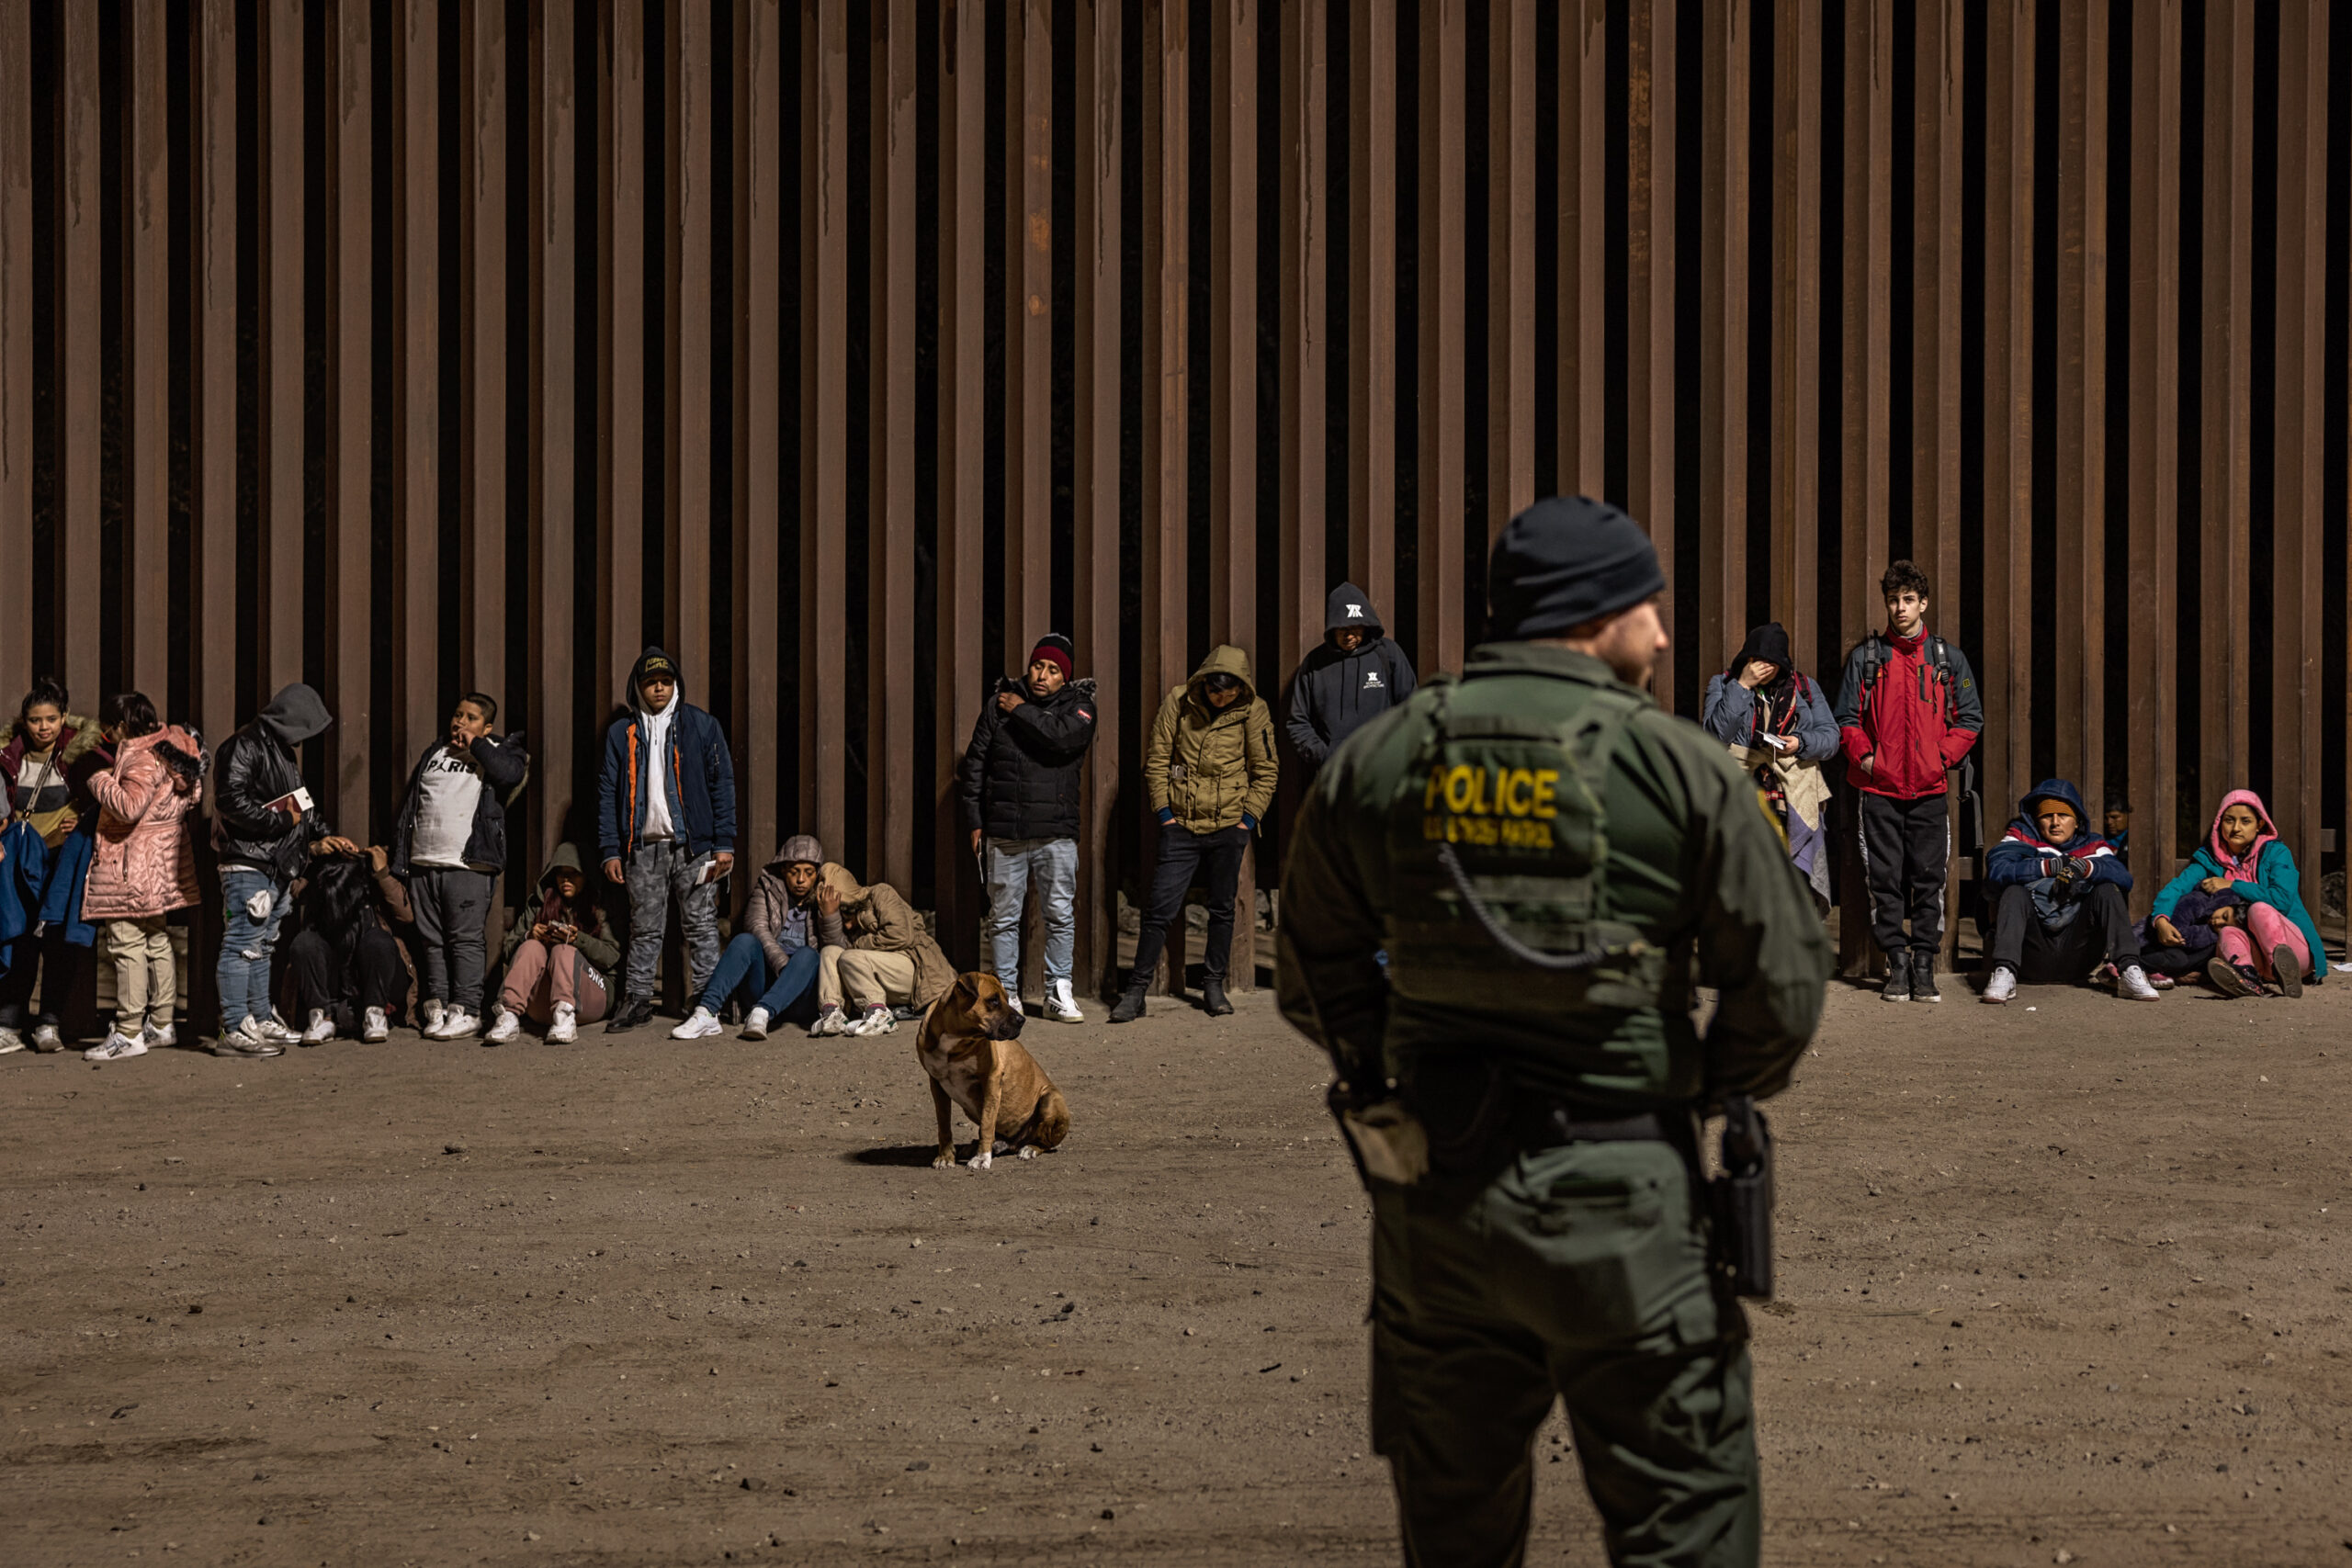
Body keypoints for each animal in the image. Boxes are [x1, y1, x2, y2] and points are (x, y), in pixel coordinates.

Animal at [917, 973, 1077, 1170]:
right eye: (993, 1000)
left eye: (1007, 999)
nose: (1022, 1020)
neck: (956, 1038)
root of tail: (1015, 1142)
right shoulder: (936, 1083)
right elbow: (944, 1124)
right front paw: (946, 1156)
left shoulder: (991, 1080)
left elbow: (986, 1124)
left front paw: (981, 1158)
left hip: (1049, 1099)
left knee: (1044, 1143)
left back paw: (1029, 1149)